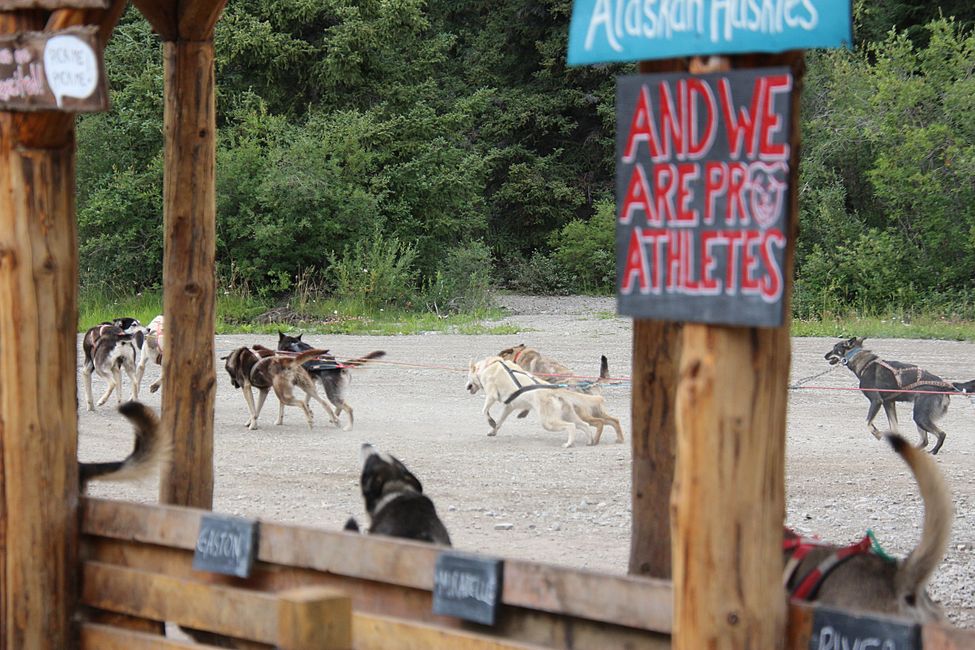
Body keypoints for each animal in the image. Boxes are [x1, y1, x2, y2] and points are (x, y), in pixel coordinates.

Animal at [466, 354, 616, 446]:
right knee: (584, 425)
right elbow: (500, 420)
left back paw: (569, 444)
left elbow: (485, 411)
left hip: (548, 422)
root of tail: (555, 390)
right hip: (569, 415)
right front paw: (493, 430)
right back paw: (590, 441)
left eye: (468, 376)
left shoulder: (491, 395)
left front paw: (490, 422)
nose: (466, 386)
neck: (491, 365)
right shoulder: (509, 406)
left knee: (571, 426)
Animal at [824, 336, 975, 454]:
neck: (863, 361)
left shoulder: (876, 401)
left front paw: (878, 434)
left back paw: (933, 451)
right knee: (924, 440)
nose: (824, 355)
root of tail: (946, 384)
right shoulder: (888, 403)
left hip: (920, 416)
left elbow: (867, 423)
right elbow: (894, 427)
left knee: (941, 434)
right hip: (919, 416)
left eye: (834, 347)